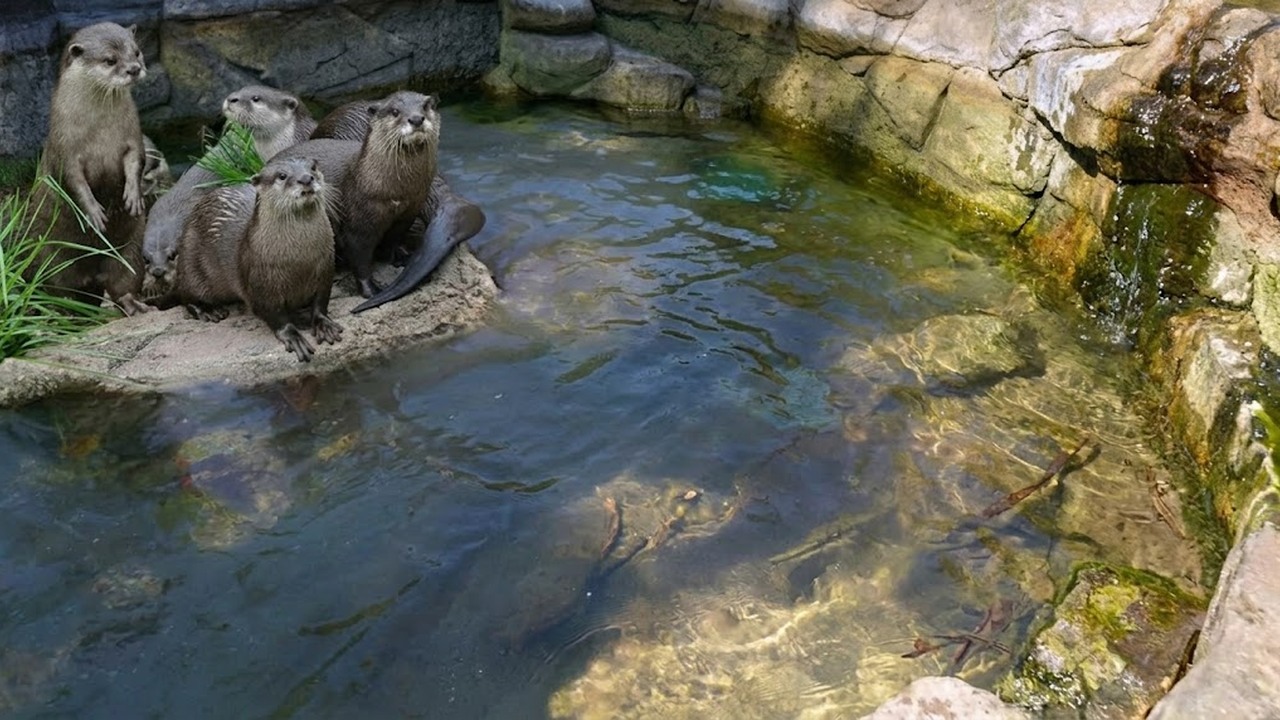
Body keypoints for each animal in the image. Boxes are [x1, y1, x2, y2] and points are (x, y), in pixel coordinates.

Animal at [25, 22, 149, 314]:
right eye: (110, 60)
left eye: (136, 52)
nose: (134, 69)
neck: (99, 133)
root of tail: (91, 277)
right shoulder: (64, 149)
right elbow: (73, 180)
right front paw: (93, 212)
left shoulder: (132, 137)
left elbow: (136, 161)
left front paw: (133, 196)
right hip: (52, 259)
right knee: (60, 292)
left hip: (131, 249)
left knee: (122, 284)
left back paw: (135, 305)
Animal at [173, 156, 342, 362]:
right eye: (282, 176)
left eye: (313, 167)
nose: (306, 178)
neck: (299, 261)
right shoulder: (260, 285)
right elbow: (272, 314)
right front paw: (293, 336)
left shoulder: (325, 268)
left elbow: (321, 301)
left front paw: (323, 324)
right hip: (189, 262)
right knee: (185, 295)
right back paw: (209, 310)